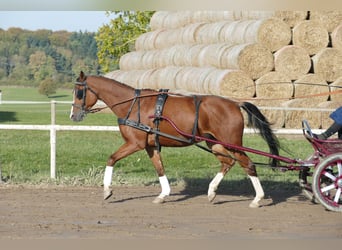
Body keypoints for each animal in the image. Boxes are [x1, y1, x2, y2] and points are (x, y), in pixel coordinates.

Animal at [70, 71, 280, 207]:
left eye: (79, 93)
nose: (73, 115)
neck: (133, 105)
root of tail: (235, 104)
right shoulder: (151, 146)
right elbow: (160, 168)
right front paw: (163, 194)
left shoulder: (134, 144)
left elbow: (111, 159)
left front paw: (107, 190)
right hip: (215, 143)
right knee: (228, 163)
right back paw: (212, 191)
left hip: (233, 143)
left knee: (249, 165)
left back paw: (257, 199)